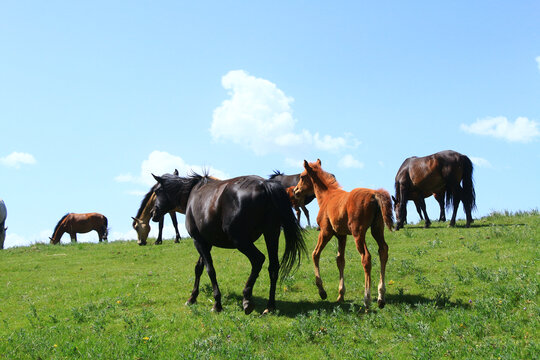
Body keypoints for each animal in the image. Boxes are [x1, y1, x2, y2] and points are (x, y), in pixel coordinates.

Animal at [151, 172, 308, 316]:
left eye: (157, 191)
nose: (153, 213)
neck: (192, 192)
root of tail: (265, 184)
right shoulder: (206, 243)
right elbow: (198, 268)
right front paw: (192, 298)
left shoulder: (198, 241)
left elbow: (210, 270)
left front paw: (217, 304)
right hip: (271, 234)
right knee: (273, 267)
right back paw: (270, 306)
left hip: (241, 241)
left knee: (258, 259)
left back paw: (247, 299)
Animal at [294, 160, 394, 310]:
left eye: (302, 176)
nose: (295, 191)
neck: (327, 196)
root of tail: (374, 194)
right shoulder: (342, 235)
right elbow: (340, 260)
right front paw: (340, 295)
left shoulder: (325, 231)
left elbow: (315, 254)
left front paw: (322, 291)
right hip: (377, 229)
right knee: (383, 250)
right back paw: (381, 297)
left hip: (358, 232)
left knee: (366, 257)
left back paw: (367, 299)